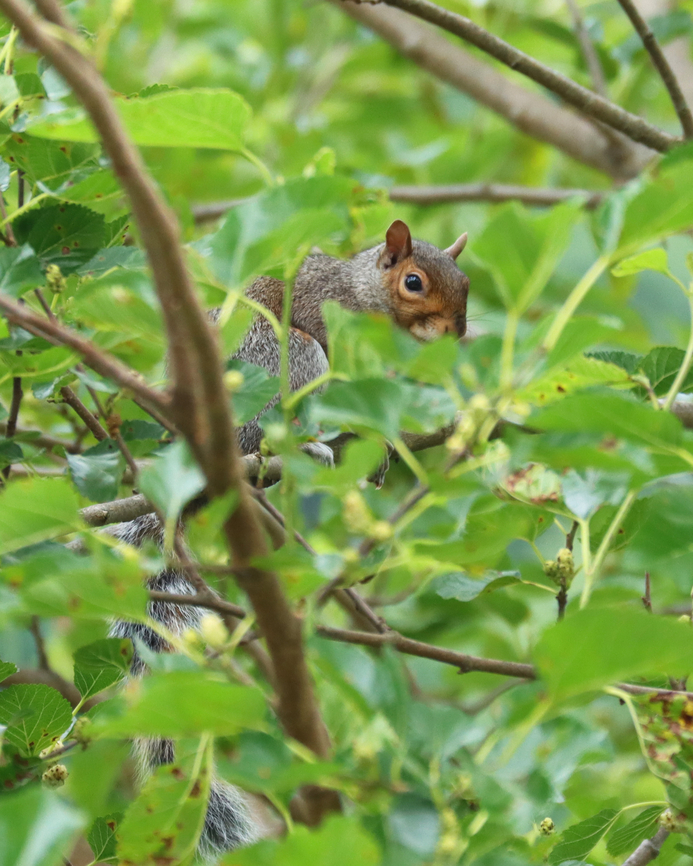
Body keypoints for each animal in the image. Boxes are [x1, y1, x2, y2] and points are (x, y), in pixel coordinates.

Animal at [108, 219, 470, 860]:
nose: (455, 334)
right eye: (414, 282)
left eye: (467, 285)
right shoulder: (324, 315)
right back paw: (307, 447)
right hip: (288, 358)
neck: (364, 296)